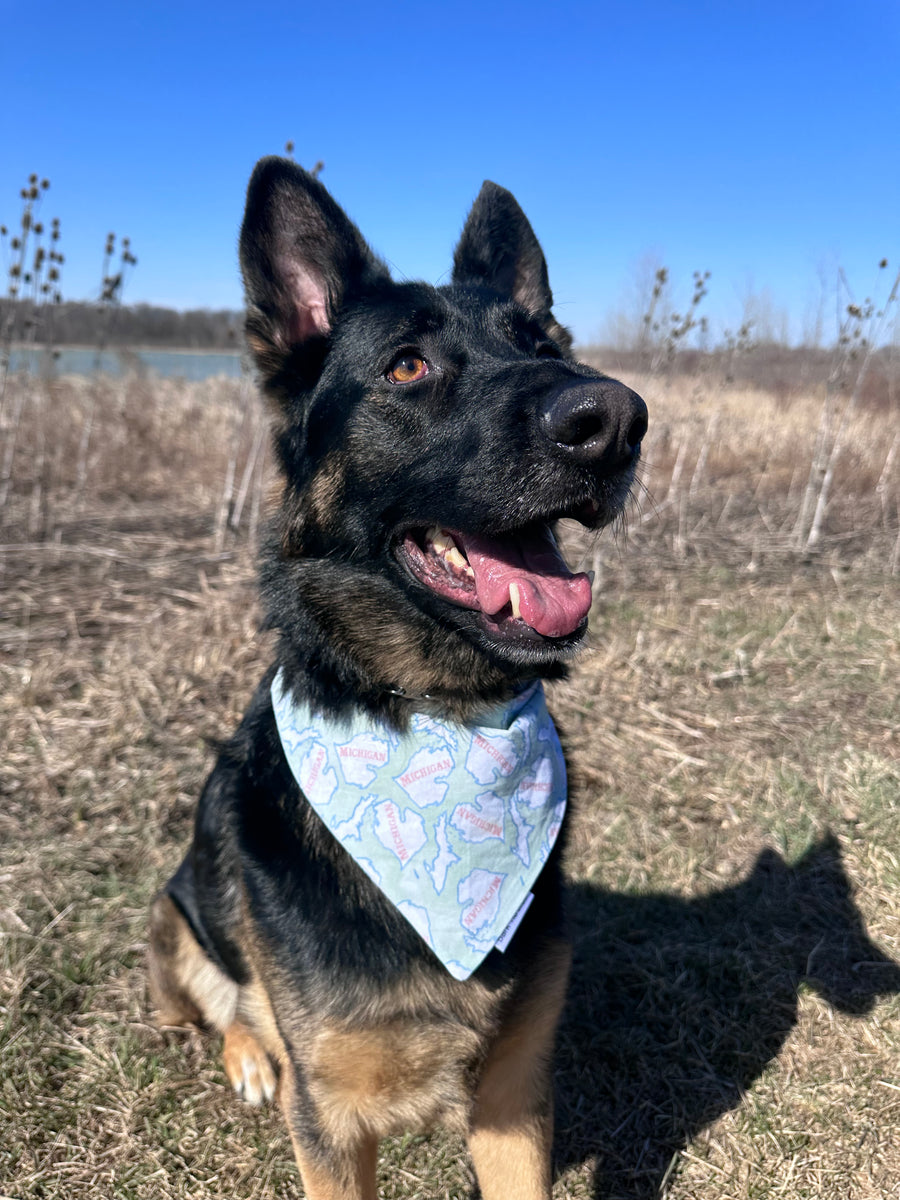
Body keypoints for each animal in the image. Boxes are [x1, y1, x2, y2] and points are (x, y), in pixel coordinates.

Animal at [151, 159, 652, 1200]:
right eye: (408, 368)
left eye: (546, 344)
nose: (615, 420)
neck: (438, 720)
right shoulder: (333, 1122)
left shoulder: (515, 1099)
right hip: (175, 914)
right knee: (223, 1004)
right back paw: (252, 1053)